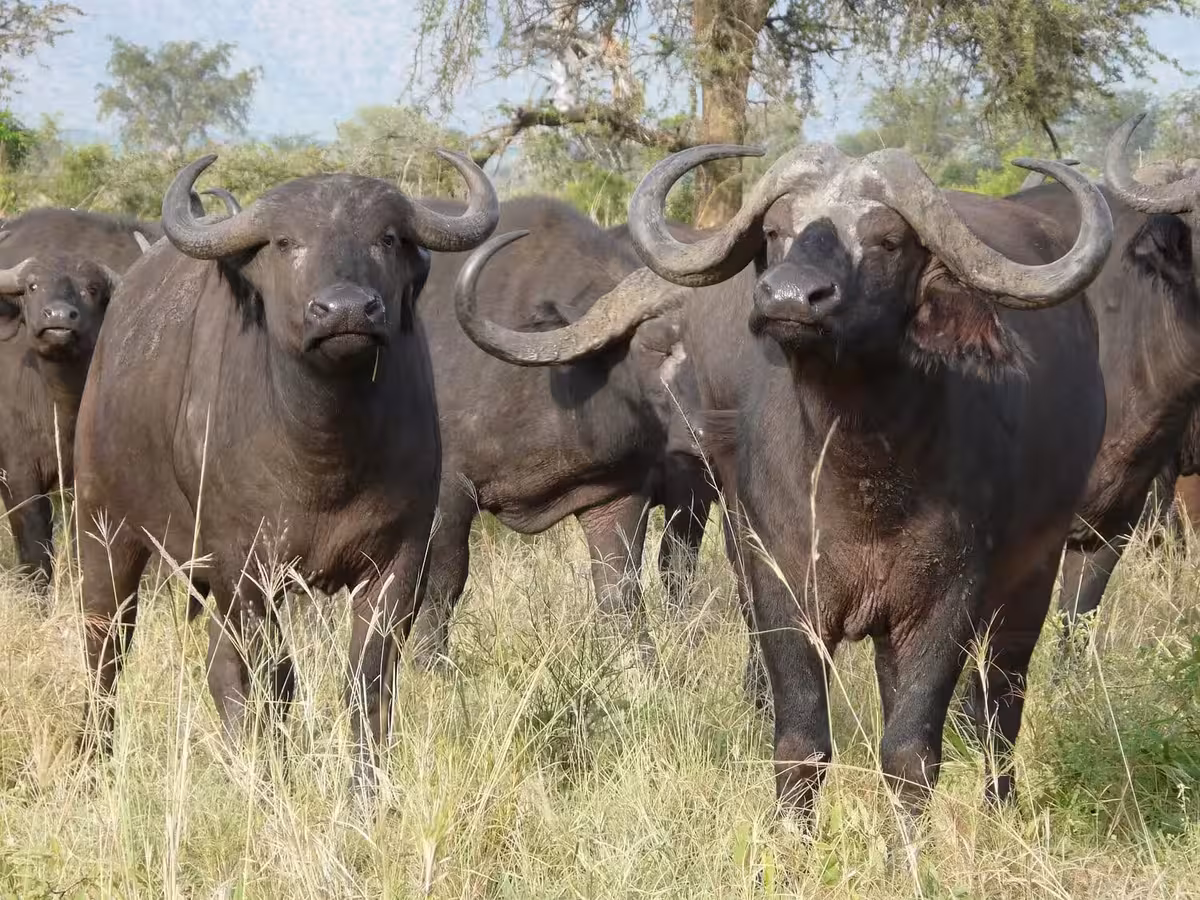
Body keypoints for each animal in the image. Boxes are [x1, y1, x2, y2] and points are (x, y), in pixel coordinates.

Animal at [73, 152, 499, 791]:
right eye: (285, 241)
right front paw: (280, 771)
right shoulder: (246, 568)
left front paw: (366, 789)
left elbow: (369, 680)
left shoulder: (398, 561)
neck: (324, 453)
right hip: (105, 531)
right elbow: (277, 680)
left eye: (387, 237)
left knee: (218, 667)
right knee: (107, 650)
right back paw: (93, 763)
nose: (345, 310)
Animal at [457, 143, 1113, 825]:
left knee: (1001, 704)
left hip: (1033, 578)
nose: (792, 299)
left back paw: (1000, 804)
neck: (861, 480)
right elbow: (801, 742)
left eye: (888, 239)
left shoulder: (948, 598)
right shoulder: (778, 587)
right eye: (776, 231)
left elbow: (911, 752)